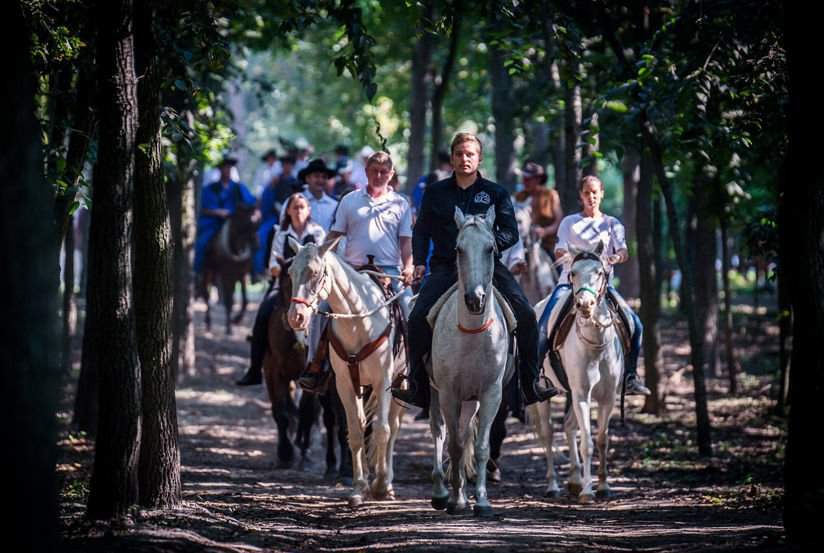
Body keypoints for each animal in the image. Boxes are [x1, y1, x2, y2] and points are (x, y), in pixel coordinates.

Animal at [200, 202, 258, 332]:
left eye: (257, 222)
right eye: (243, 222)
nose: (256, 244)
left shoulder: (242, 274)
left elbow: (245, 300)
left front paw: (236, 319)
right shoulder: (226, 275)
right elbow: (228, 300)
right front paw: (229, 327)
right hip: (207, 271)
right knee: (206, 294)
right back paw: (208, 322)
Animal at [286, 237, 406, 504]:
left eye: (316, 272)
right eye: (290, 272)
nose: (296, 317)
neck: (359, 320)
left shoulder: (383, 381)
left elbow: (382, 430)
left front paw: (379, 485)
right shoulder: (345, 382)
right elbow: (355, 430)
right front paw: (359, 487)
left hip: (400, 386)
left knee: (392, 427)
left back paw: (389, 483)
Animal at [428, 205, 512, 516]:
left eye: (491, 248)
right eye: (458, 249)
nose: (475, 299)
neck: (474, 335)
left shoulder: (490, 394)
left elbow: (480, 447)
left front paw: (482, 501)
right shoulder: (448, 393)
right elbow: (452, 444)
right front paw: (454, 501)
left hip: (471, 400)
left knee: (465, 436)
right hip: (435, 393)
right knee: (439, 432)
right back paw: (443, 493)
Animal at [532, 244, 620, 502]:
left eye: (599, 272)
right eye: (572, 273)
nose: (584, 304)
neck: (596, 346)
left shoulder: (608, 397)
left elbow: (602, 440)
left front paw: (603, 486)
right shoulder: (582, 395)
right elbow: (587, 443)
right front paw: (588, 492)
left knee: (569, 426)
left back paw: (573, 480)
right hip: (545, 394)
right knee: (548, 434)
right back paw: (554, 485)